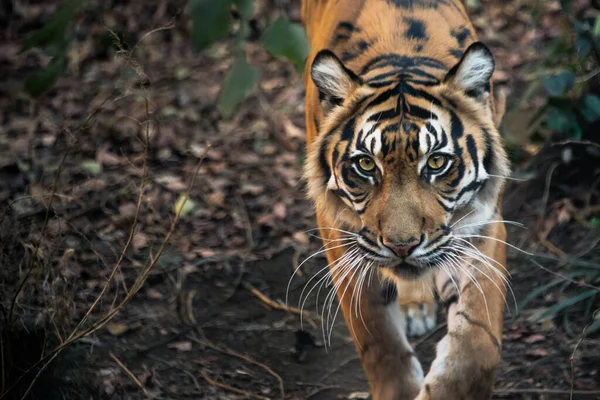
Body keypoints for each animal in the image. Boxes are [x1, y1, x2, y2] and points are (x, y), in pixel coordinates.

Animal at [300, 0, 510, 400]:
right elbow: (378, 339)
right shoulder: (342, 235)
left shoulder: (482, 225)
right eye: (366, 164)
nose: (402, 246)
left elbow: (477, 344)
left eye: (437, 162)